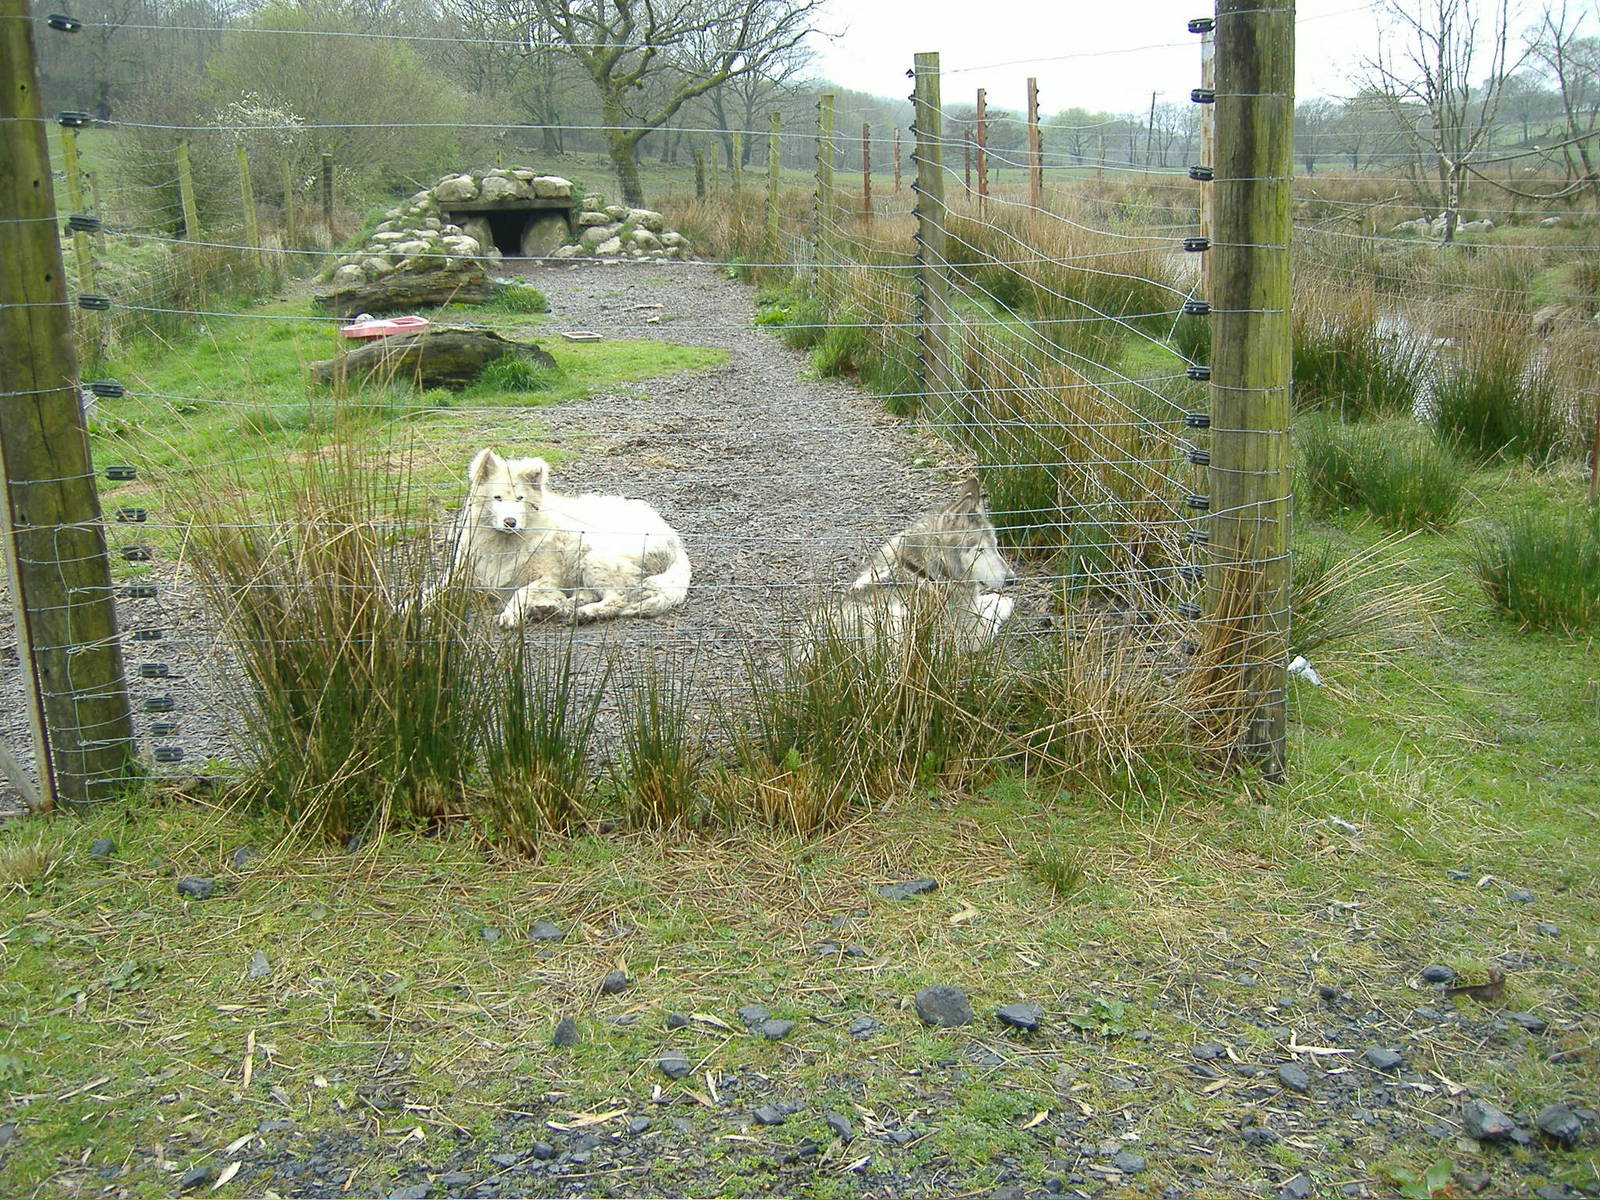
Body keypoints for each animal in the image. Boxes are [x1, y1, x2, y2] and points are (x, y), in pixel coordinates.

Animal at [428, 448, 691, 628]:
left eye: (520, 498)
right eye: (498, 498)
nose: (510, 522)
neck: (504, 544)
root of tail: (675, 540)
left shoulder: (547, 577)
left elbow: (521, 592)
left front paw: (510, 615)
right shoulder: (463, 574)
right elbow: (429, 592)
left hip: (595, 554)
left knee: (619, 597)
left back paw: (583, 612)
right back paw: (558, 607)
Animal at [814, 477, 1017, 650]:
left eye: (996, 546)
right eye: (980, 550)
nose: (1012, 579)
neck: (923, 570)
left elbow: (986, 600)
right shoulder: (974, 631)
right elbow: (992, 613)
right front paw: (1003, 602)